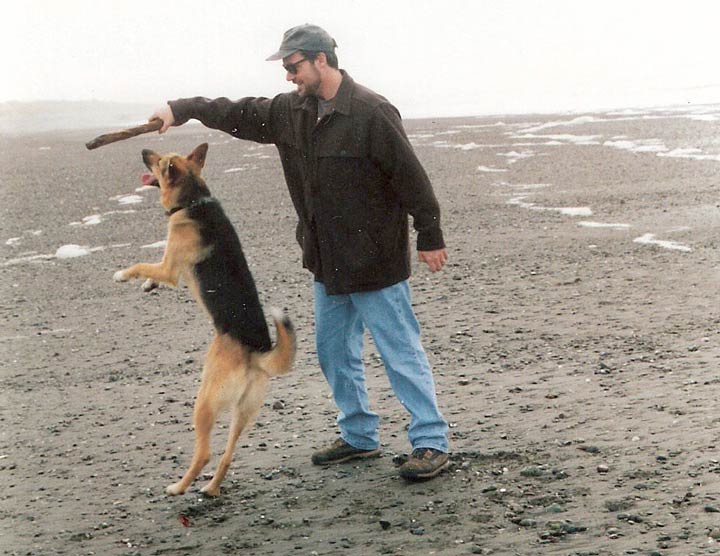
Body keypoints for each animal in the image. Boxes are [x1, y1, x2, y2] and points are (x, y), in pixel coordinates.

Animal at [114, 142, 294, 496]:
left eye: (159, 162)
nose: (143, 149)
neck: (194, 200)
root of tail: (257, 353)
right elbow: (150, 274)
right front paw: (147, 285)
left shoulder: (170, 266)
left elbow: (142, 264)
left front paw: (124, 275)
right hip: (244, 411)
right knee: (226, 455)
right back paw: (210, 488)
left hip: (205, 400)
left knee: (206, 452)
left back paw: (178, 487)